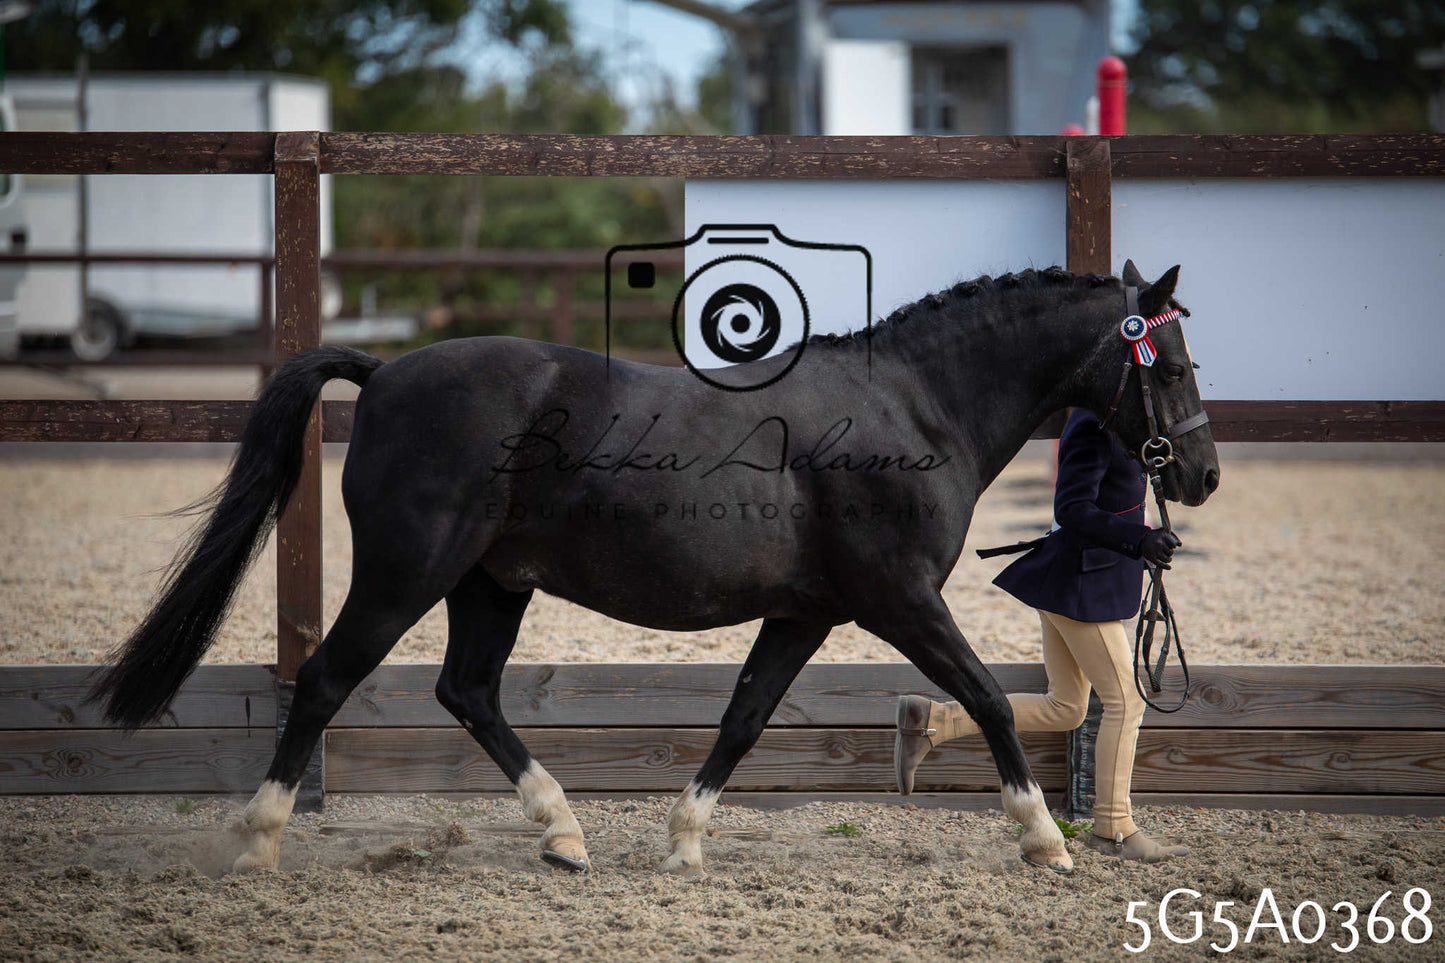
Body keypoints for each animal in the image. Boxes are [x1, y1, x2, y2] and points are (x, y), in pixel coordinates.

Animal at [89, 259, 1218, 876]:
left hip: (491, 585)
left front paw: (681, 841)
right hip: (408, 574)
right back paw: (258, 844)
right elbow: (985, 697)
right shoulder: (898, 600)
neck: (910, 405)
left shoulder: (806, 613)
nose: (1199, 475)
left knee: (469, 692)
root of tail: (385, 369)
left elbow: (745, 716)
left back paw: (563, 835)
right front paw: (1044, 841)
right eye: (1165, 361)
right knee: (326, 681)